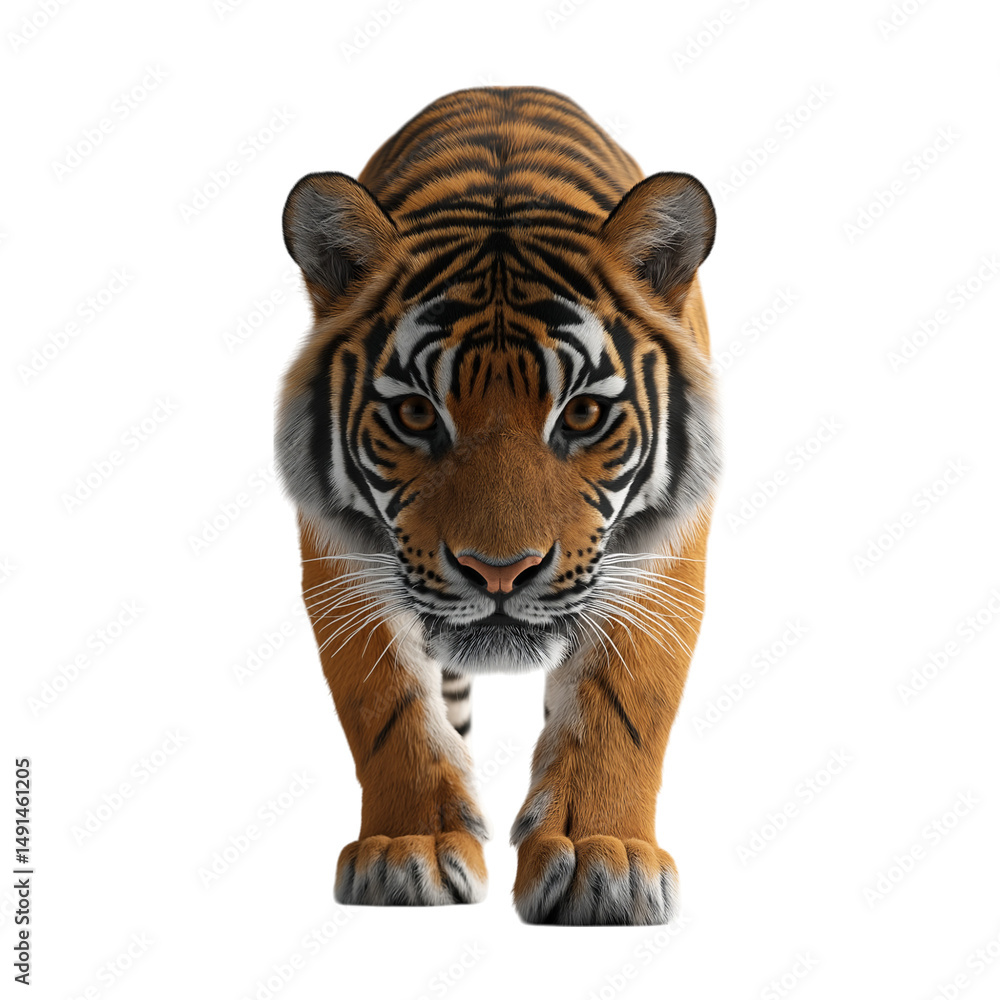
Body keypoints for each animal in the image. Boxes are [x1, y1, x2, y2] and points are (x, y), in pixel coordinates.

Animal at [275, 86, 720, 925]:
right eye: (416, 414)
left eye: (583, 414)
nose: (500, 573)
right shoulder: (343, 558)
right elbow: (387, 707)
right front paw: (406, 850)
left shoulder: (659, 560)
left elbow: (620, 707)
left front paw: (602, 860)